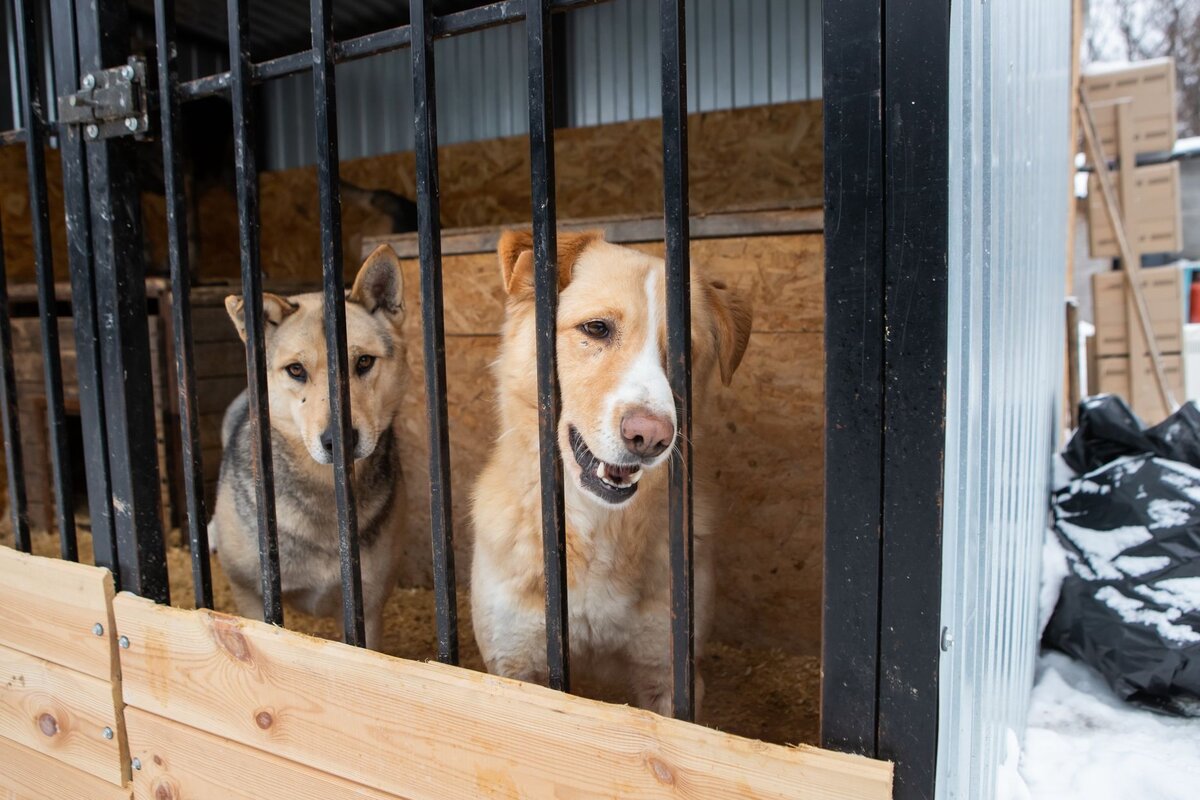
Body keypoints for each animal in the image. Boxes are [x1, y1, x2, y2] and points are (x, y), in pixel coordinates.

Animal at [470, 227, 744, 714]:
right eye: (596, 329)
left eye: (685, 354)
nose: (649, 437)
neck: (598, 527)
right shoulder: (513, 664)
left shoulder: (669, 674)